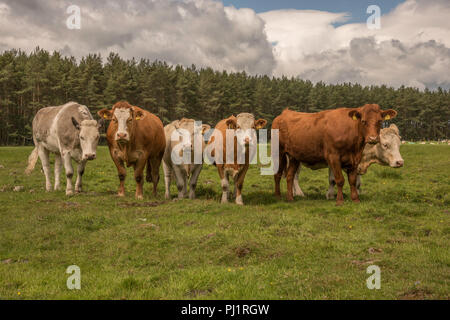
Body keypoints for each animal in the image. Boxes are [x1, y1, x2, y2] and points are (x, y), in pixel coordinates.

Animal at [270, 104, 398, 206]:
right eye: (363, 121)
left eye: (380, 121)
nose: (373, 138)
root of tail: (284, 113)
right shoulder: (333, 157)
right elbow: (339, 180)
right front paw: (339, 200)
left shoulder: (355, 159)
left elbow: (352, 181)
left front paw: (355, 199)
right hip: (278, 152)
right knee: (278, 174)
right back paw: (278, 196)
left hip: (295, 156)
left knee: (290, 176)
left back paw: (290, 198)